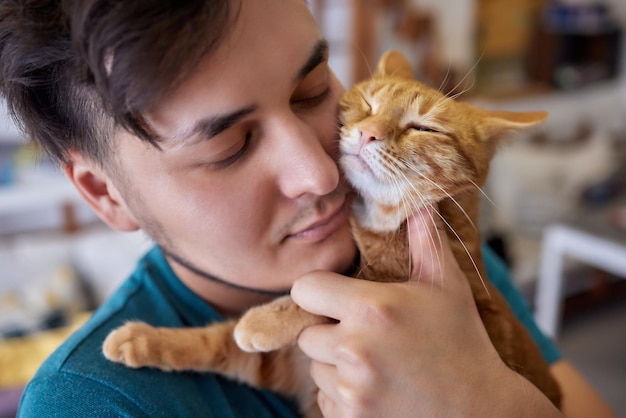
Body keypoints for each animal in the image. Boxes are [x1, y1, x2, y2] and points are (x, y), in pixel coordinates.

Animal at [102, 51, 560, 414]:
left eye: (423, 128)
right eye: (369, 103)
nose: (368, 133)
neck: (378, 223)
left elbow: (317, 293)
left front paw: (262, 321)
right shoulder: (285, 366)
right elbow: (217, 342)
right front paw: (142, 340)